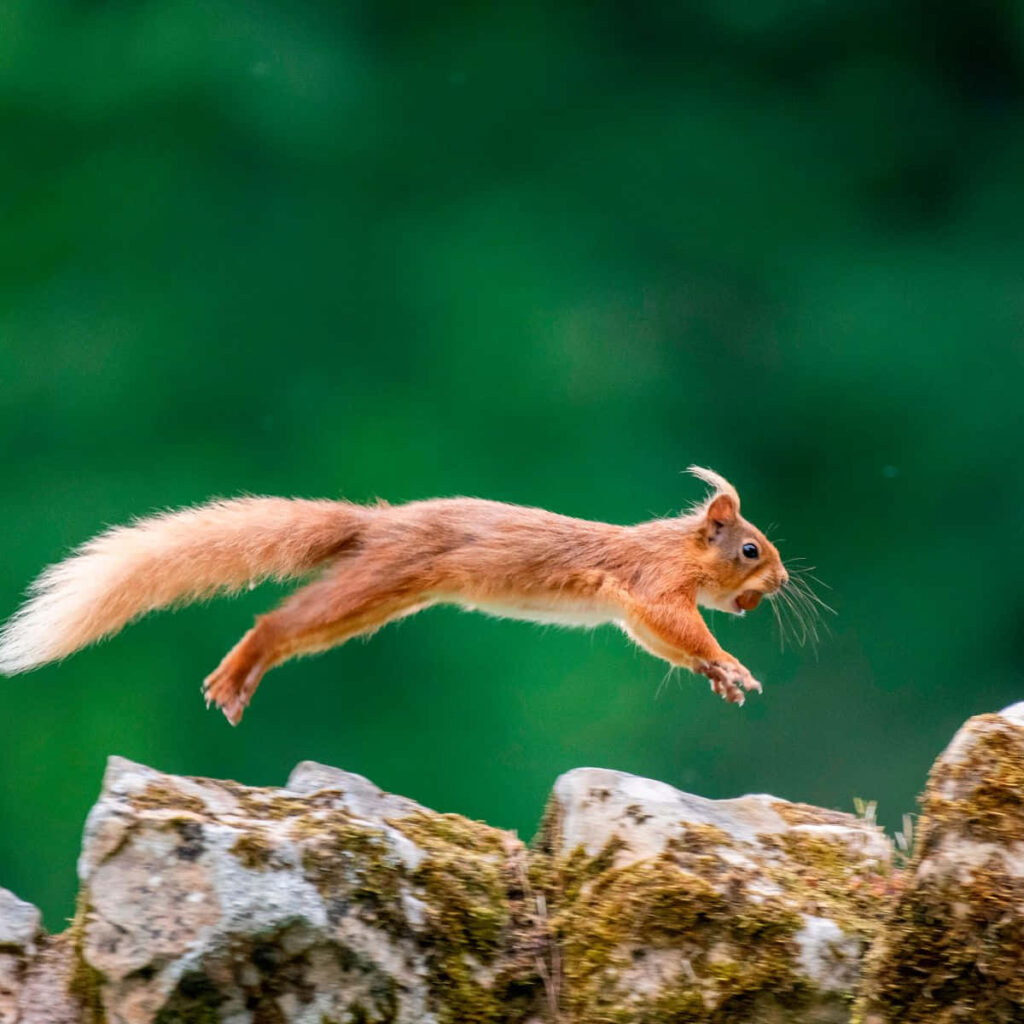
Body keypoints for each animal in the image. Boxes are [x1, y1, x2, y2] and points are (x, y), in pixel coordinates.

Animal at [0, 466, 807, 725]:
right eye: (750, 549)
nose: (783, 583)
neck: (673, 545)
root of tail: (379, 522)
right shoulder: (650, 586)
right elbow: (674, 624)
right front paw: (731, 665)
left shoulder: (634, 610)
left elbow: (661, 640)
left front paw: (719, 678)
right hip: (377, 582)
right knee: (276, 621)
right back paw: (234, 675)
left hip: (380, 599)